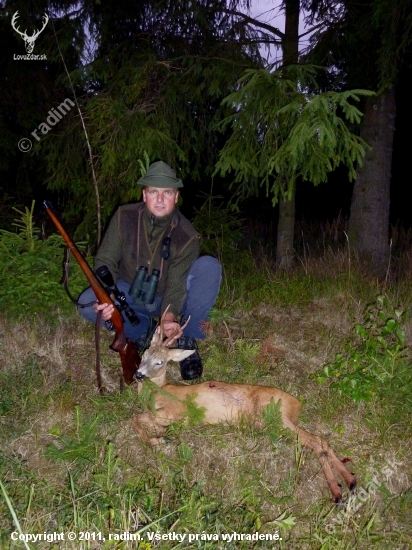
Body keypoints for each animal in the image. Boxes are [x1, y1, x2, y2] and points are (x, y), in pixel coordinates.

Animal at [131, 312, 354, 502]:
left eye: (160, 362)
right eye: (145, 354)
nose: (138, 375)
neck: (159, 391)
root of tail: (297, 403)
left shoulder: (173, 413)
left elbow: (136, 419)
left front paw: (159, 440)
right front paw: (161, 435)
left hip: (276, 418)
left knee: (315, 441)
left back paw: (337, 492)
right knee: (322, 441)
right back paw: (350, 481)